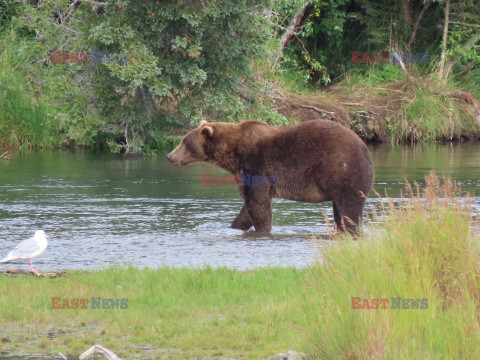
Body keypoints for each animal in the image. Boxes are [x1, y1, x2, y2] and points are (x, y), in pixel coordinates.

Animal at [167, 119, 374, 233]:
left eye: (185, 143)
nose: (169, 156)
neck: (233, 154)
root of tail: (365, 148)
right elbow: (247, 208)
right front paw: (233, 226)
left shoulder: (255, 166)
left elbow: (257, 204)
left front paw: (263, 229)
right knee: (339, 209)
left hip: (344, 171)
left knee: (349, 208)